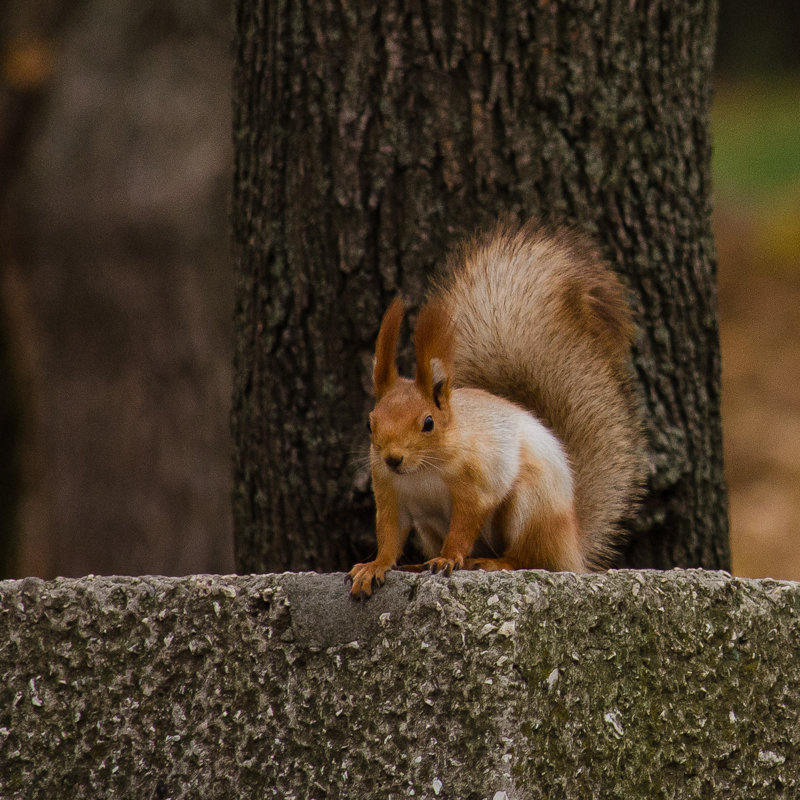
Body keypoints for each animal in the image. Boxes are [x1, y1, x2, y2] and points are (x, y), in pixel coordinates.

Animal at [346, 219, 648, 600]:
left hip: (528, 508)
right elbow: (389, 535)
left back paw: (493, 562)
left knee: (530, 558)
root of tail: (571, 547)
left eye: (428, 423)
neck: (422, 472)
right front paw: (374, 567)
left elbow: (464, 525)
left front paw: (448, 558)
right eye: (370, 424)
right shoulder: (389, 494)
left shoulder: (476, 484)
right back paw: (421, 564)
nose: (393, 459)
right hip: (430, 527)